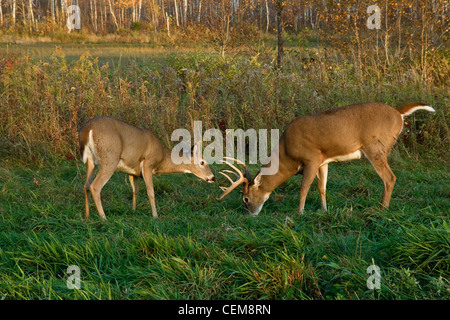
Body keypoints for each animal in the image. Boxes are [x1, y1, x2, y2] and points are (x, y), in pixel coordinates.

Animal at [78, 117, 214, 220]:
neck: (162, 157)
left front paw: (133, 210)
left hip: (90, 161)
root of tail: (87, 129)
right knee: (95, 186)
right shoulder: (148, 164)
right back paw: (103, 218)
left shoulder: (133, 172)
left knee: (86, 185)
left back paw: (87, 216)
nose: (213, 177)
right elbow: (151, 192)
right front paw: (155, 216)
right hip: (109, 158)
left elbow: (135, 190)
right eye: (202, 162)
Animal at [218, 102, 436, 215]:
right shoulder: (324, 162)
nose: (250, 214)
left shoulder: (311, 158)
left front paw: (299, 213)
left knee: (389, 178)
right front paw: (324, 210)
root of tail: (399, 112)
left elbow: (304, 187)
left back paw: (381, 209)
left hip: (375, 148)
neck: (287, 153)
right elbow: (321, 187)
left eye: (246, 198)